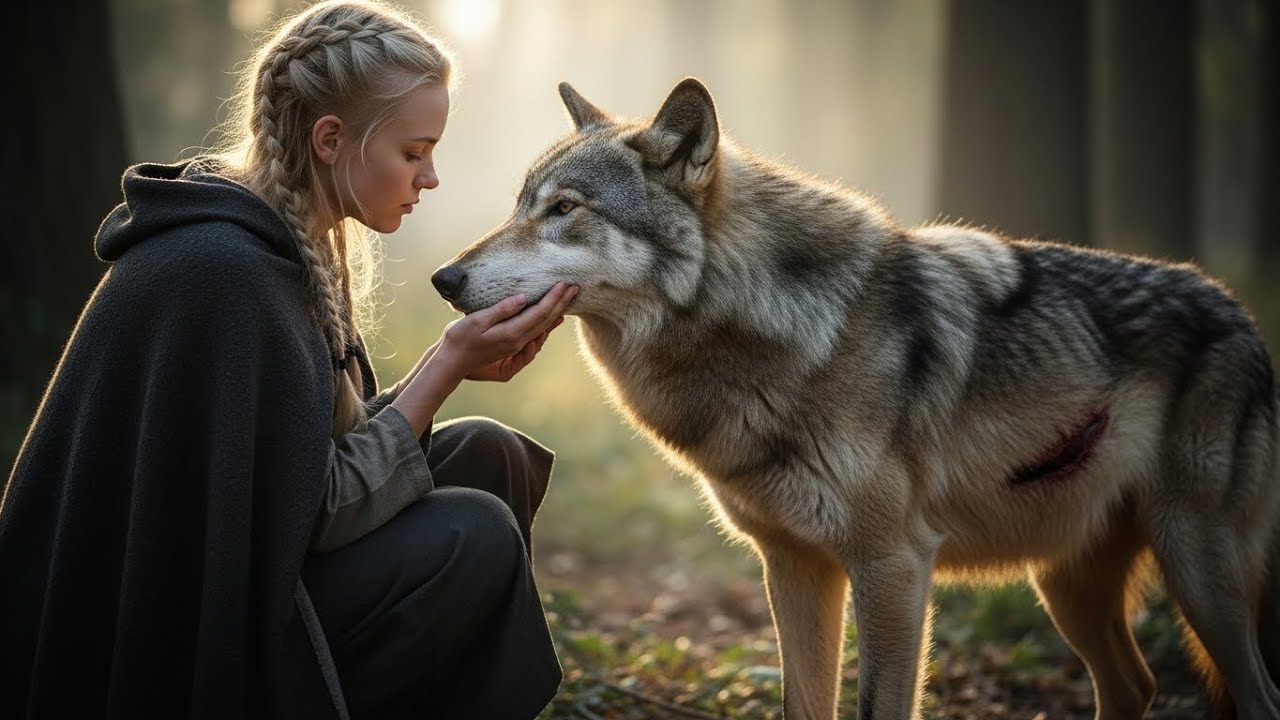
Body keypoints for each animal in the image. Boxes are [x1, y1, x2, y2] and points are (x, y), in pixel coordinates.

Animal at [431, 78, 1280, 719]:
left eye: (563, 209)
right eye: (520, 205)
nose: (444, 277)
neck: (777, 332)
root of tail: (1239, 312)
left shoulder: (891, 566)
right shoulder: (794, 567)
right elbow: (803, 705)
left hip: (1194, 570)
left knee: (1256, 695)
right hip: (1066, 584)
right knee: (1135, 685)